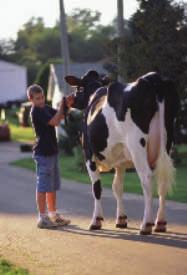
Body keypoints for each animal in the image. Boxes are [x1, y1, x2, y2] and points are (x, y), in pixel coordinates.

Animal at [65, 70, 179, 235]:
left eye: (79, 88)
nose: (70, 99)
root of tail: (152, 78)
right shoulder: (121, 162)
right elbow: (117, 187)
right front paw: (121, 219)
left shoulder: (88, 155)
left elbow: (96, 188)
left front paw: (96, 220)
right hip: (166, 144)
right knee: (162, 181)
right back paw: (160, 223)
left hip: (137, 145)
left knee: (146, 178)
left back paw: (146, 224)